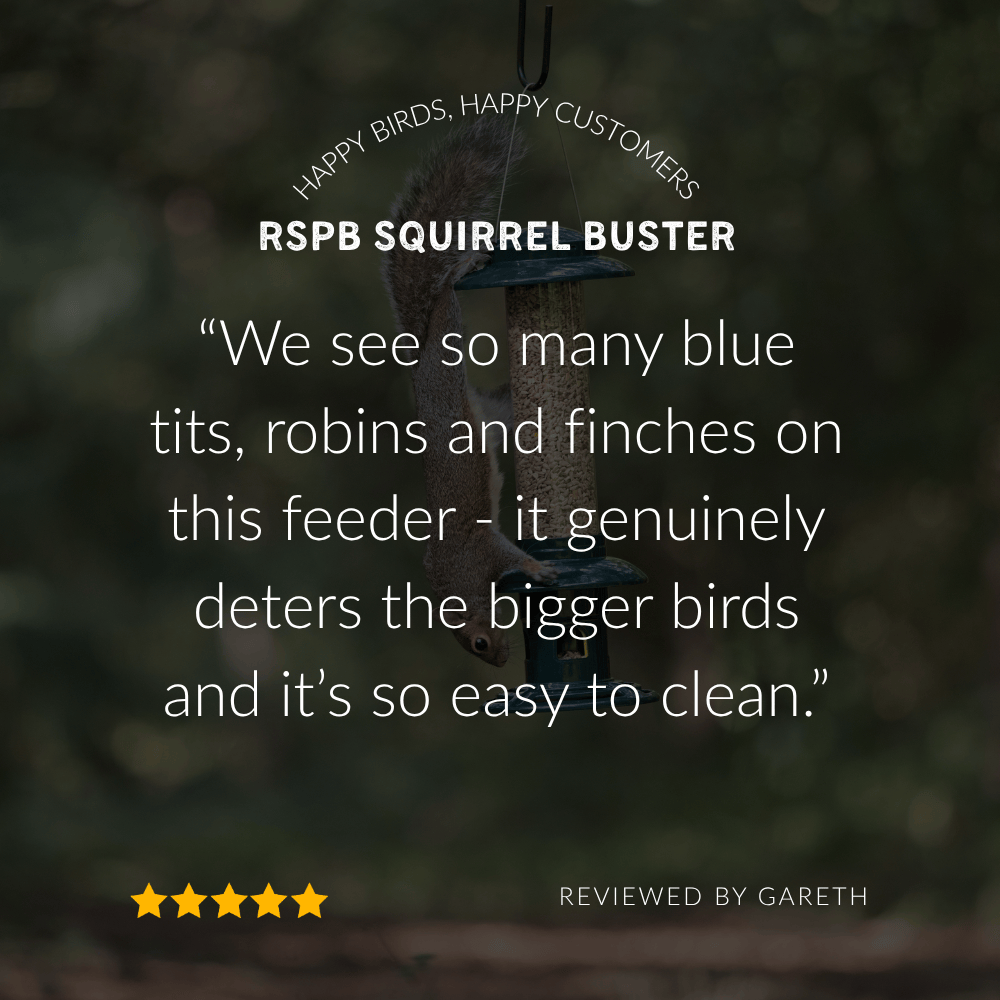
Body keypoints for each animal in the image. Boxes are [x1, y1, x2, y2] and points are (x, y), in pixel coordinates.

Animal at [382, 116, 554, 667]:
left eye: (478, 643)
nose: (499, 663)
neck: (460, 585)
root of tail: (418, 359)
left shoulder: (480, 553)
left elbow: (509, 554)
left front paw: (539, 569)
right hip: (489, 412)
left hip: (447, 355)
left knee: (446, 302)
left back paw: (463, 269)